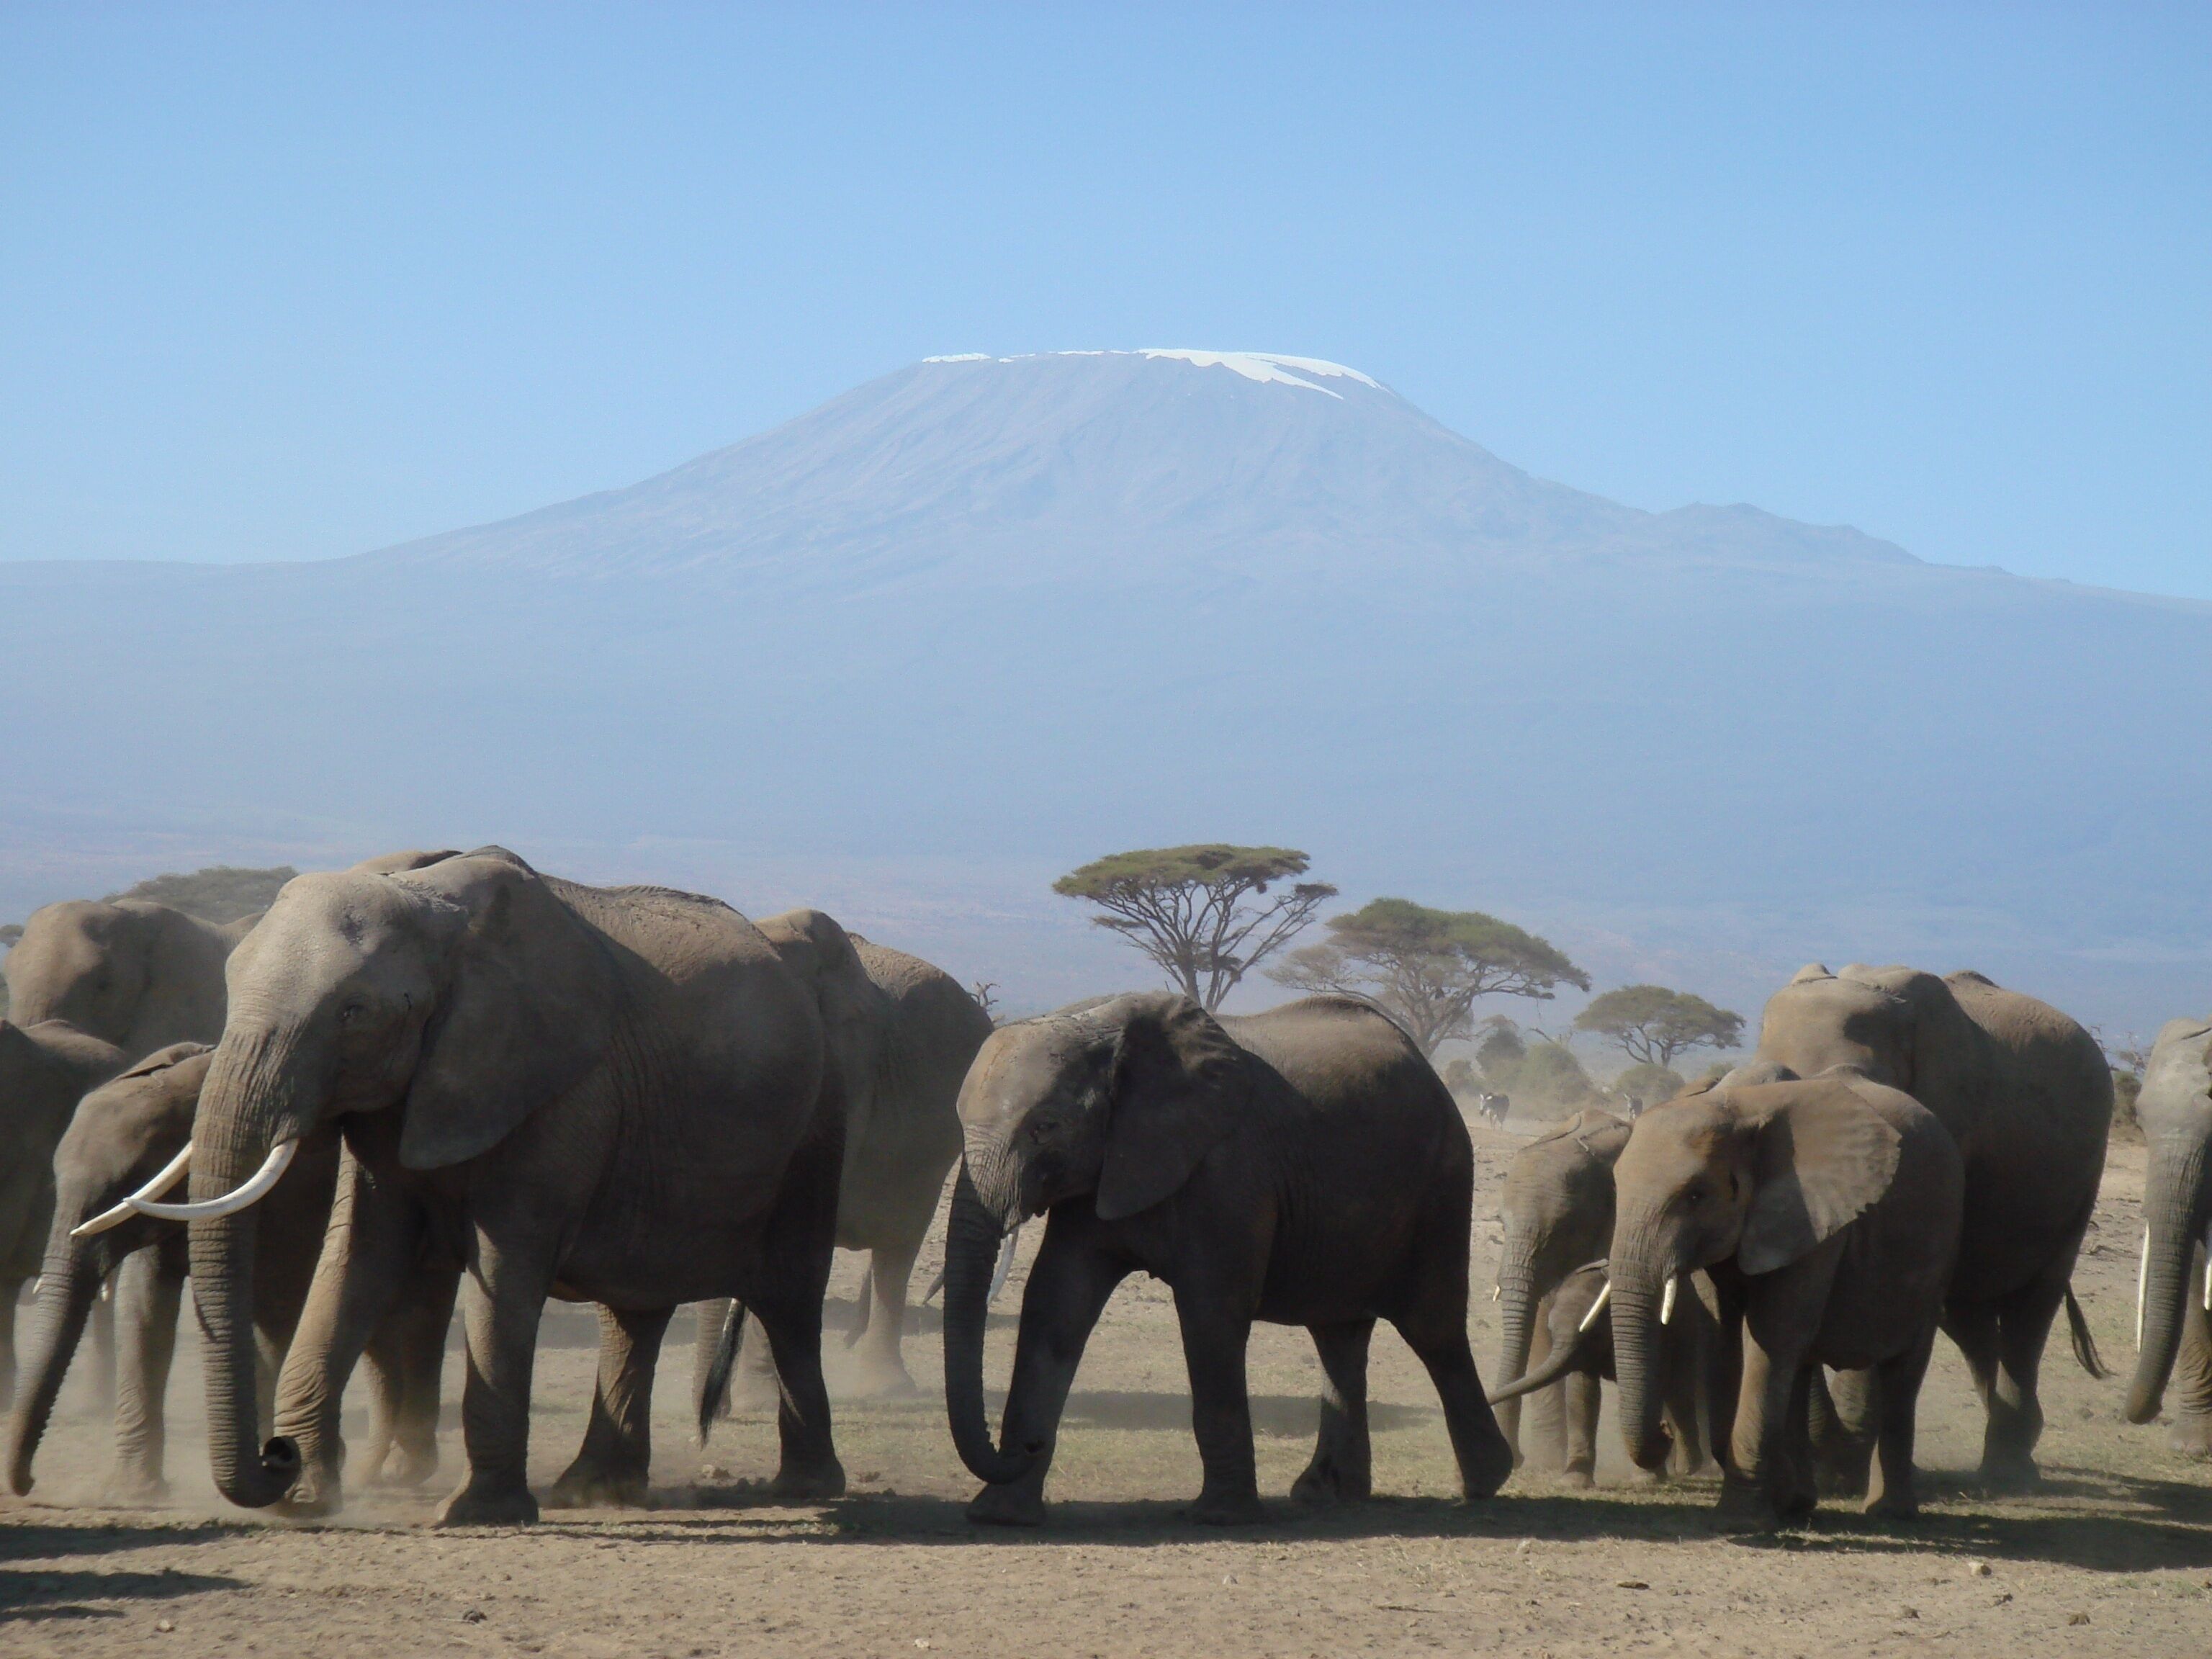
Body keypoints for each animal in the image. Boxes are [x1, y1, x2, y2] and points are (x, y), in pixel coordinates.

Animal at [138, 847, 844, 1526]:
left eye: (353, 1012)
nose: (274, 1453)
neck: (430, 906)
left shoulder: (557, 1086)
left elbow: (505, 1265)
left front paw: (478, 1514)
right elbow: (358, 1258)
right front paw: (306, 1502)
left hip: (813, 1133)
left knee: (789, 1301)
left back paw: (803, 1489)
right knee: (633, 1312)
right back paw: (593, 1492)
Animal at [943, 991, 1514, 1527]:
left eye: (1045, 1127)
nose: (1028, 1446)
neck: (1101, 1026)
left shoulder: (1229, 1170)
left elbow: (1211, 1312)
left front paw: (1220, 1515)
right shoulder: (1102, 1172)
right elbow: (1057, 1302)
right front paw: (999, 1514)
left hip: (1442, 1182)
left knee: (1433, 1328)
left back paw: (1484, 1482)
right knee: (1339, 1336)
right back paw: (1326, 1494)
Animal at [1485, 1260, 1716, 1485]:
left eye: (1594, 1333)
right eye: (1551, 1330)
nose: (1664, 1431)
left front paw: (1646, 1479)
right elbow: (1582, 1393)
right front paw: (1573, 1482)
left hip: (1685, 1327)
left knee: (1678, 1388)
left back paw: (1684, 1466)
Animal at [1607, 1076, 1962, 1525]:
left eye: (1696, 1196)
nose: (1665, 1433)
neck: (1740, 1110)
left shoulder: (1815, 1219)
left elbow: (1772, 1336)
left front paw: (1741, 1522)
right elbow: (1723, 1339)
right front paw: (1778, 1501)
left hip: (1940, 1252)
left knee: (1903, 1369)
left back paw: (1889, 1513)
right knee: (1802, 1364)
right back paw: (1800, 1503)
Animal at [1732, 964, 2111, 1488]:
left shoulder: (1949, 1127)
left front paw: (1846, 1471)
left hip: (2081, 1182)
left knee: (2032, 1306)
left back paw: (2007, 1471)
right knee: (1965, 1315)